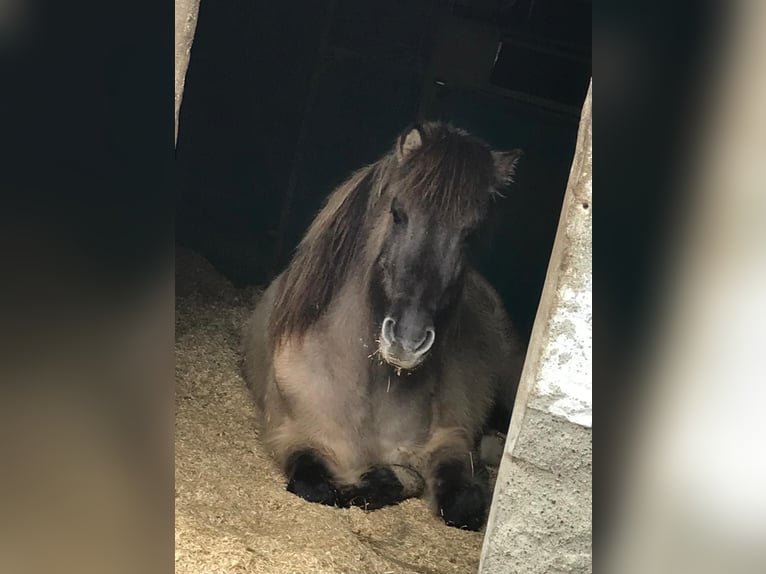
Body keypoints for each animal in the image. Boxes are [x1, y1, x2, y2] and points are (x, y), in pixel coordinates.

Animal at [242, 121, 528, 532]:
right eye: (398, 212)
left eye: (470, 233)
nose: (408, 340)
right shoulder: (292, 437)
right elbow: (315, 486)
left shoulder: (450, 440)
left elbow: (462, 505)